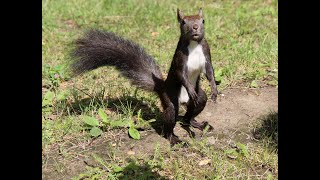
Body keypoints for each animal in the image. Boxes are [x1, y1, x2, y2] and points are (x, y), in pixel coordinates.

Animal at [70, 8, 218, 146]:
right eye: (183, 22)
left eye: (203, 20)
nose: (195, 27)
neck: (194, 44)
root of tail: (162, 88)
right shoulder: (179, 60)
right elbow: (182, 76)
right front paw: (191, 89)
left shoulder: (206, 54)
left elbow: (210, 72)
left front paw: (214, 89)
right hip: (170, 101)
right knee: (171, 120)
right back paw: (173, 138)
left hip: (200, 99)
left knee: (191, 113)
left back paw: (198, 124)